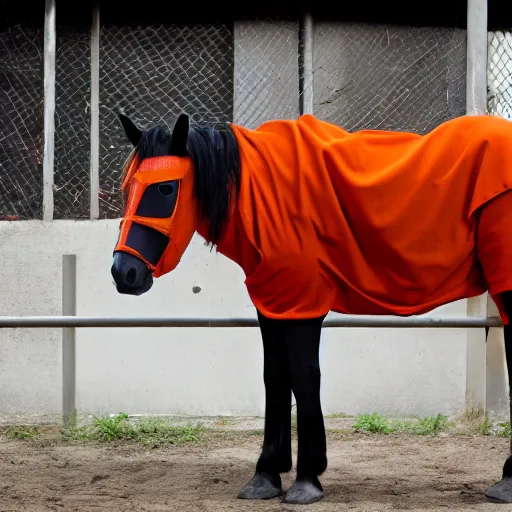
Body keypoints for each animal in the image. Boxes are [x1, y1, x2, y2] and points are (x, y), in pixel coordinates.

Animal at [111, 109, 512, 504]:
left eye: (165, 188)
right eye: (128, 188)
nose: (123, 272)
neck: (264, 196)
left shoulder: (303, 302)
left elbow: (304, 377)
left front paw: (307, 478)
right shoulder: (274, 303)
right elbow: (275, 377)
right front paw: (266, 474)